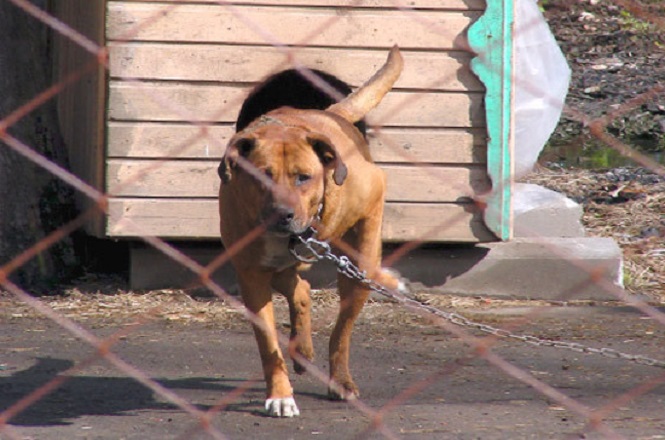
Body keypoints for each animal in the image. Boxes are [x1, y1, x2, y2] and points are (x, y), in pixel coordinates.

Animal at [220, 46, 402, 418]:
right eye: (260, 177)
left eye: (303, 177)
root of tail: (333, 112)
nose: (282, 214)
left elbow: (340, 331)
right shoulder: (251, 274)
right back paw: (301, 349)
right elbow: (268, 344)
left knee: (341, 322)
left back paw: (339, 378)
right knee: (299, 286)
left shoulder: (372, 190)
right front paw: (280, 394)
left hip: (358, 270)